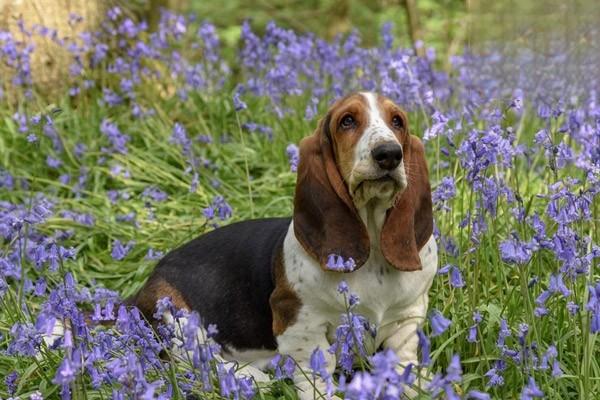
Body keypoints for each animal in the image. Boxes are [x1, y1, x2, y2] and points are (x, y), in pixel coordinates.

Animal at [130, 91, 436, 396]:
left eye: (397, 121)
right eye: (347, 121)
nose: (389, 154)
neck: (371, 243)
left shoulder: (407, 318)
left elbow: (404, 362)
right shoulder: (300, 323)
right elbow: (316, 372)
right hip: (176, 317)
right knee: (196, 360)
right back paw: (249, 378)